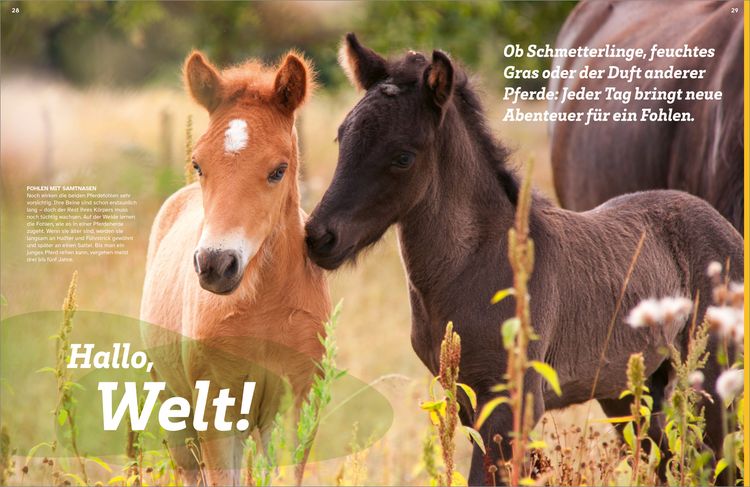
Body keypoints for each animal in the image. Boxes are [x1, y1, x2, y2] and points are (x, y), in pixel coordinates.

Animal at [140, 50, 330, 486]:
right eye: (198, 164)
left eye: (278, 170)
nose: (215, 264)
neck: (264, 305)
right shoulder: (215, 410)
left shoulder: (295, 406)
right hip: (175, 409)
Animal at [304, 34, 743, 485]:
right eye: (342, 138)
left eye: (403, 157)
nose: (319, 236)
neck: (473, 263)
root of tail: (724, 226)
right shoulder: (466, 400)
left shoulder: (513, 403)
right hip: (629, 390)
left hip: (711, 381)